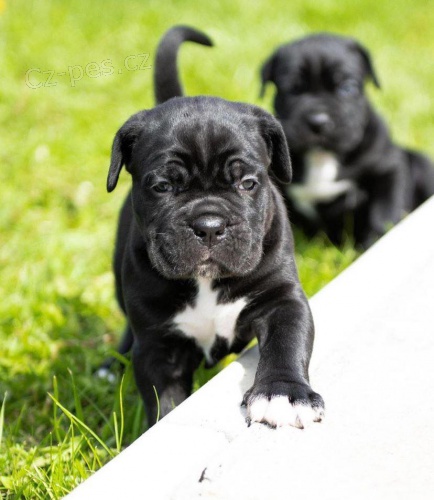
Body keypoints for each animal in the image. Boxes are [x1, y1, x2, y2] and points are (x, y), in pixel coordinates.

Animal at [262, 33, 434, 248]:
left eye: (347, 88)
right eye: (292, 90)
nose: (319, 120)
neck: (322, 156)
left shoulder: (388, 168)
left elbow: (385, 209)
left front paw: (375, 242)